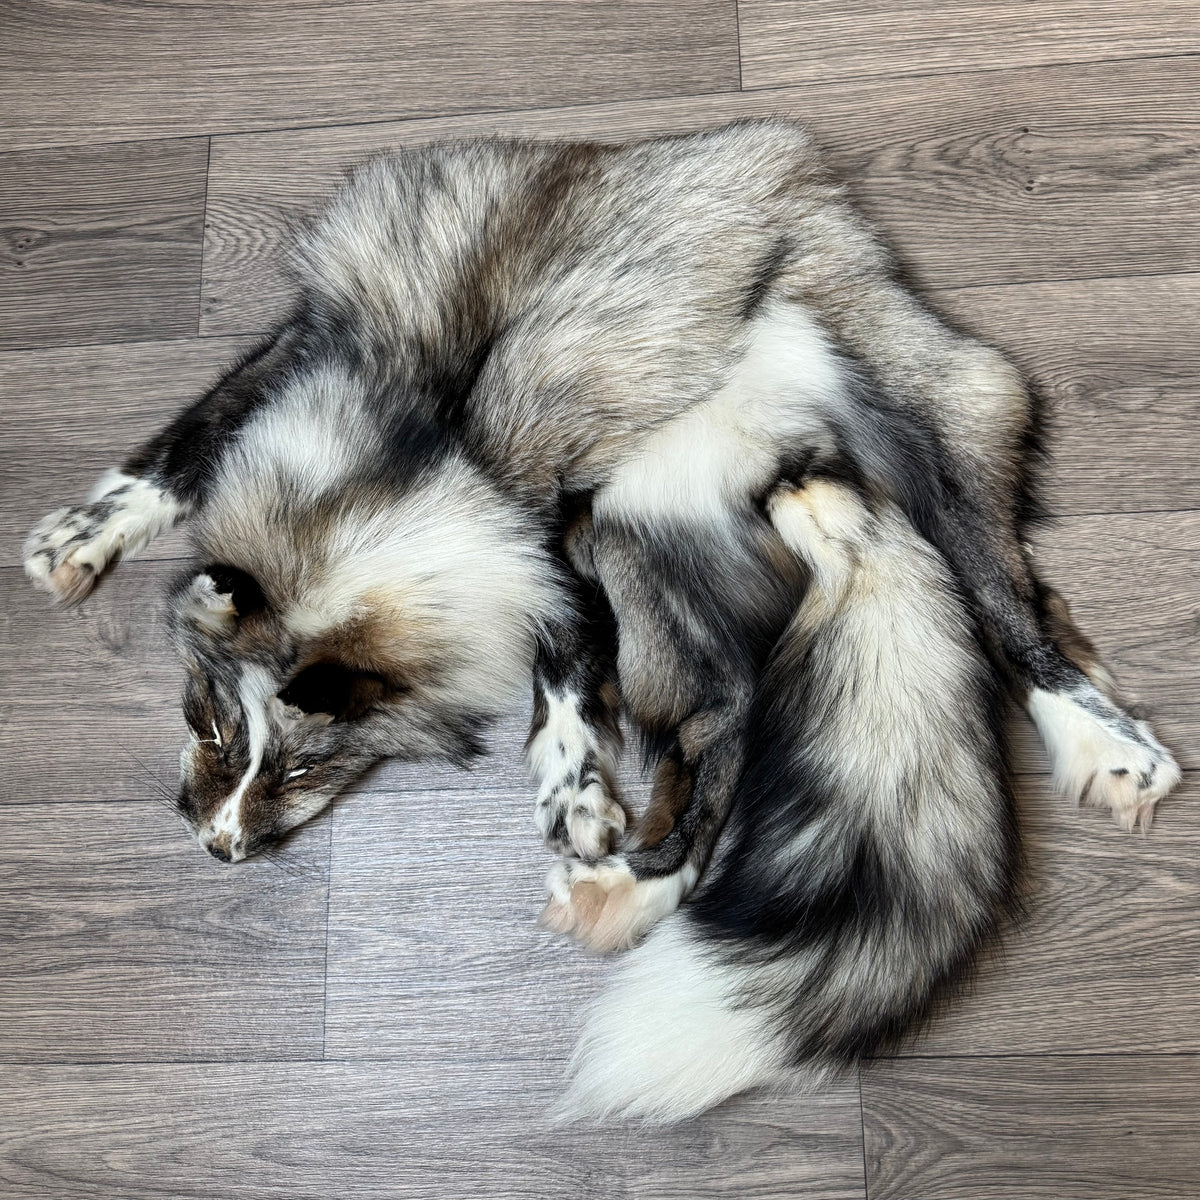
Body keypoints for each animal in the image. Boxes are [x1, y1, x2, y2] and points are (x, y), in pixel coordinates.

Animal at [23, 120, 1179, 1117]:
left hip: (912, 425)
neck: (430, 435)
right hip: (649, 535)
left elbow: (565, 663)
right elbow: (184, 442)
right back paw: (637, 885)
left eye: (309, 764)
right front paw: (83, 534)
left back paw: (1101, 740)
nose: (218, 849)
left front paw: (573, 784)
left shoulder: (546, 525)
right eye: (211, 725)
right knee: (732, 716)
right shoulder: (329, 358)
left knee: (1004, 611)